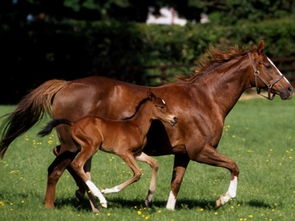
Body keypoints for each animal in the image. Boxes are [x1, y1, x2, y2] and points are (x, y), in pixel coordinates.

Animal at [39, 92, 178, 209]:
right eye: (161, 106)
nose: (175, 118)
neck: (136, 126)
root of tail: (73, 123)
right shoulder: (124, 153)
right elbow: (138, 173)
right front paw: (107, 190)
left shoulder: (136, 153)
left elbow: (154, 163)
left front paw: (148, 199)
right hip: (92, 146)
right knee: (77, 163)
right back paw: (101, 199)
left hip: (82, 147)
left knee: (67, 158)